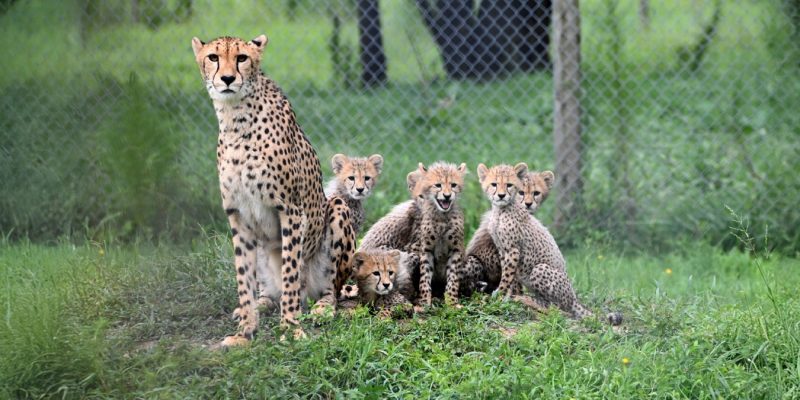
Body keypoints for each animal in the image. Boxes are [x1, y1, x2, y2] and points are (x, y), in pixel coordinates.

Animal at [192, 34, 355, 346]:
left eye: (242, 58)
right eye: (213, 57)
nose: (227, 78)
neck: (235, 118)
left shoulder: (290, 210)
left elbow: (291, 272)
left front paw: (290, 327)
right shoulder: (238, 214)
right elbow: (243, 277)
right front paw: (245, 332)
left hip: (338, 210)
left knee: (331, 289)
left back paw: (320, 308)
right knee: (266, 290)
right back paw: (261, 303)